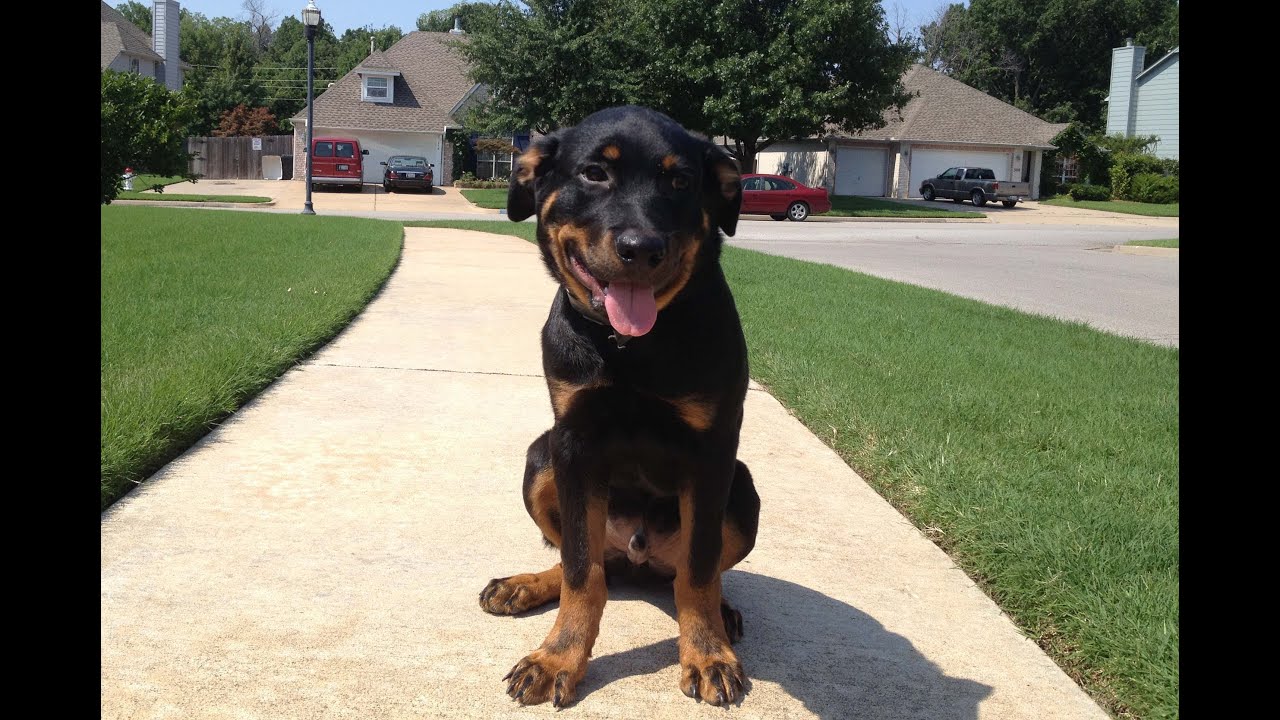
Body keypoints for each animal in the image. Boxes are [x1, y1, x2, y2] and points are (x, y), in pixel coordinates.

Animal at [481, 105, 757, 707]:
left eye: (680, 181)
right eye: (593, 174)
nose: (641, 248)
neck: (629, 346)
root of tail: (635, 555)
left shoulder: (713, 452)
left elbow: (699, 571)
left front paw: (708, 654)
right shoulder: (575, 443)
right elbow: (580, 573)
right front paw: (556, 657)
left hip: (743, 488)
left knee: (686, 573)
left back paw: (723, 614)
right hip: (541, 458)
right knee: (583, 561)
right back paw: (524, 586)